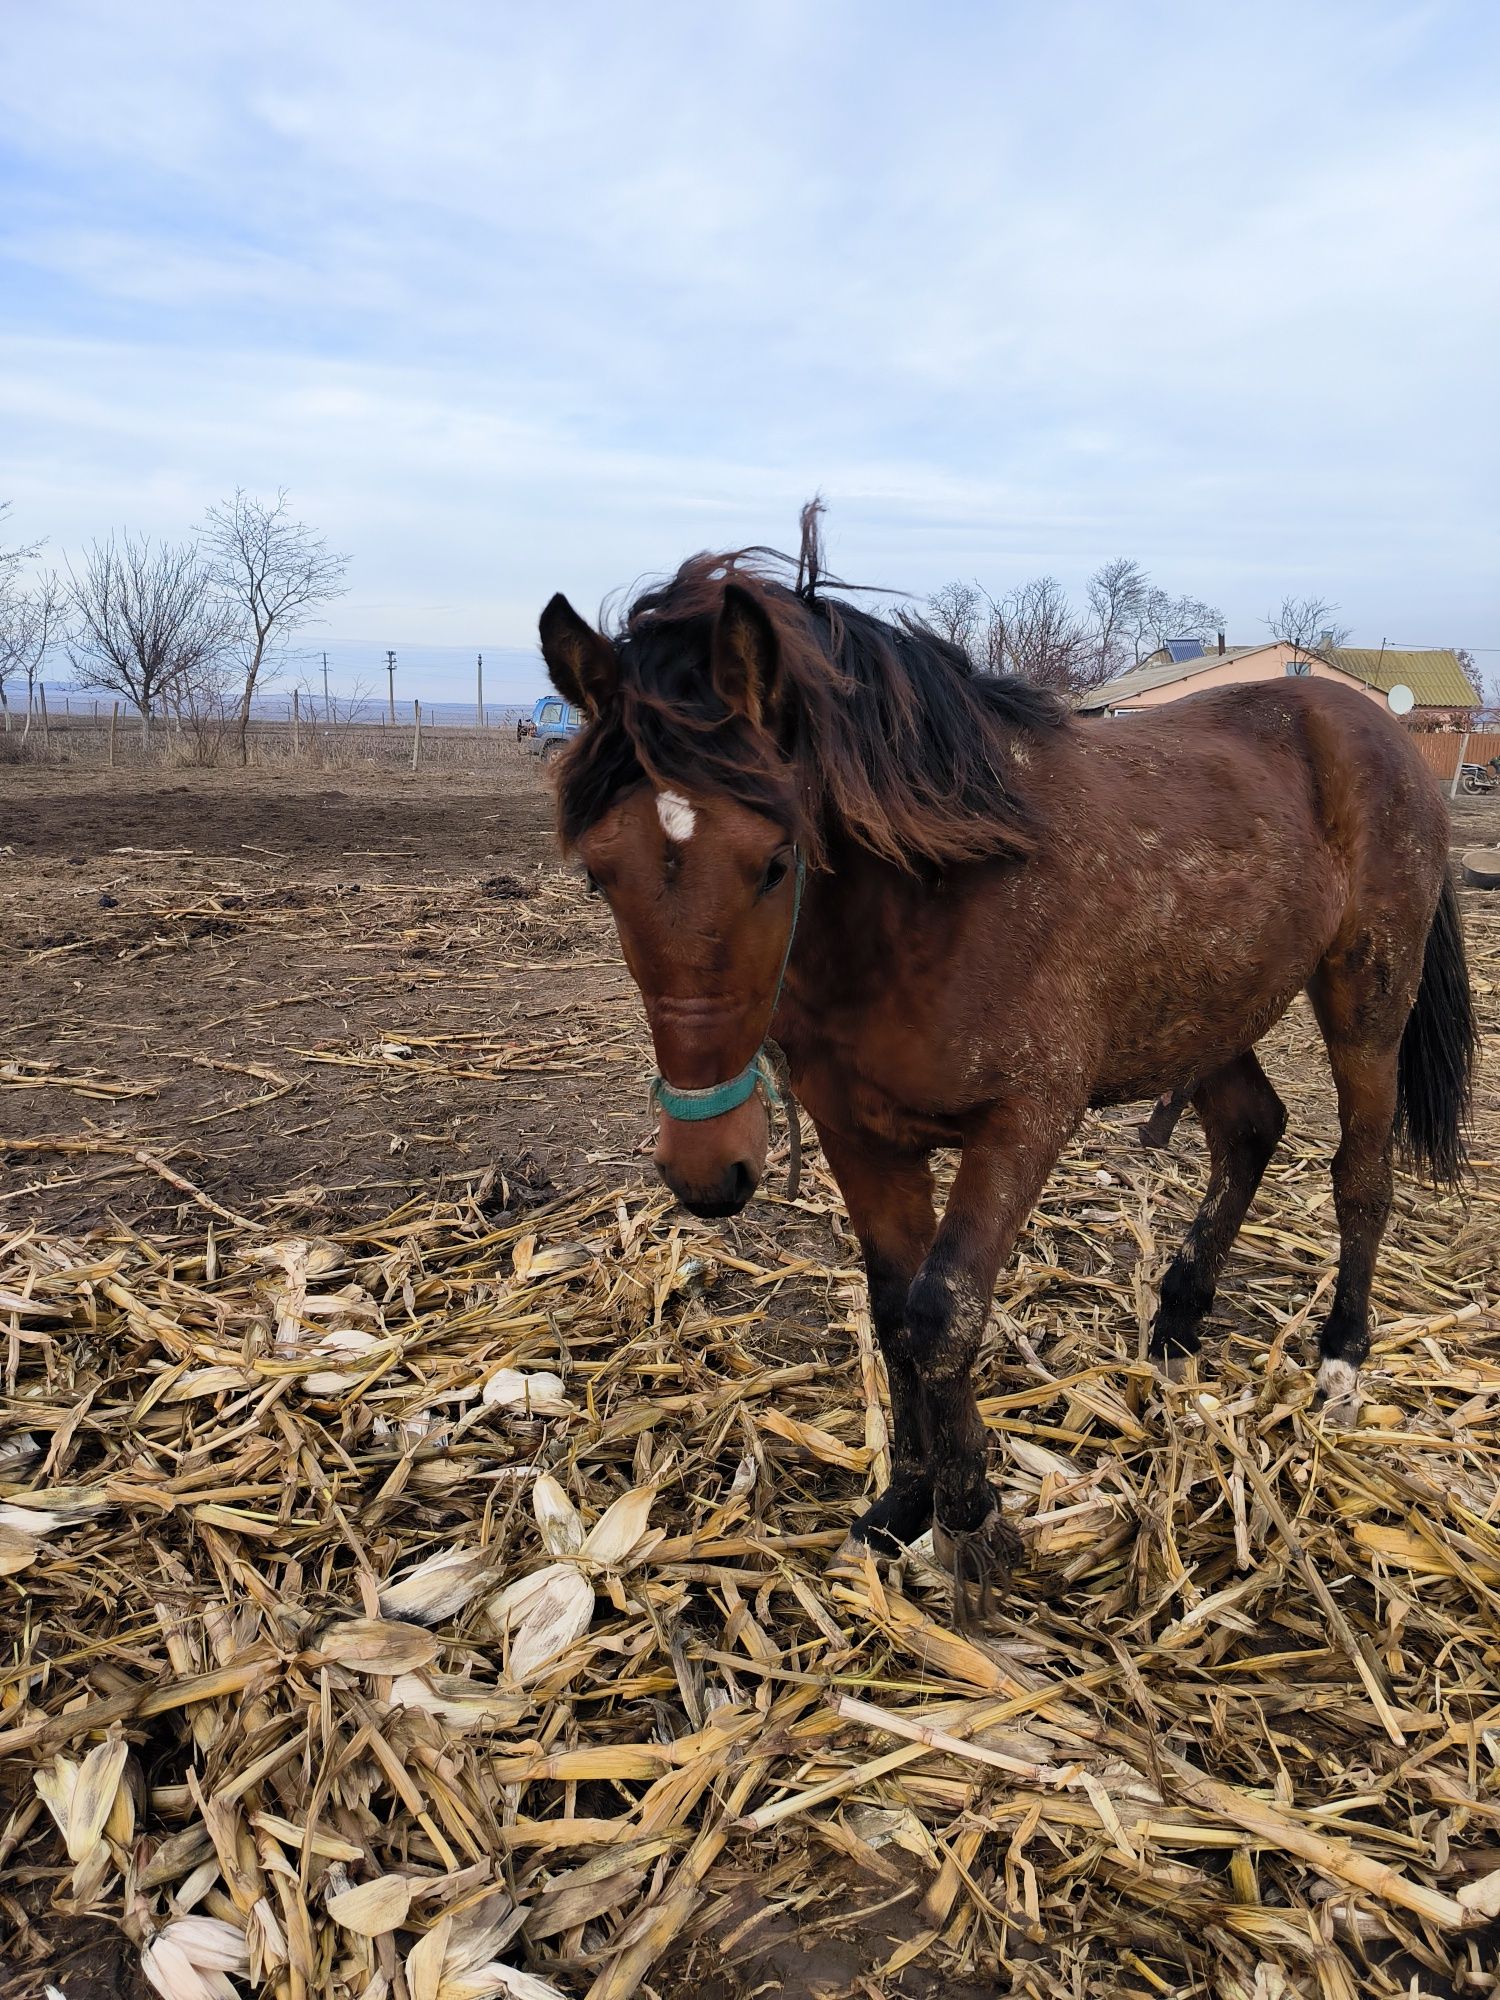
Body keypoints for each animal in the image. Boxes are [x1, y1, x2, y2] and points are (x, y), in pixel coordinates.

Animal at [544, 516, 1480, 1608]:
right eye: (598, 873)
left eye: (774, 862)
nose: (707, 1169)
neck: (934, 901)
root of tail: (1365, 720)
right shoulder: (859, 1132)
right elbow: (893, 1313)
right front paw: (906, 1505)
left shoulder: (1026, 1120)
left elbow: (943, 1313)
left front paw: (974, 1520)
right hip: (1209, 1008)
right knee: (1252, 1131)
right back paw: (1176, 1327)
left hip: (1365, 998)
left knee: (1361, 1173)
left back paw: (1340, 1361)